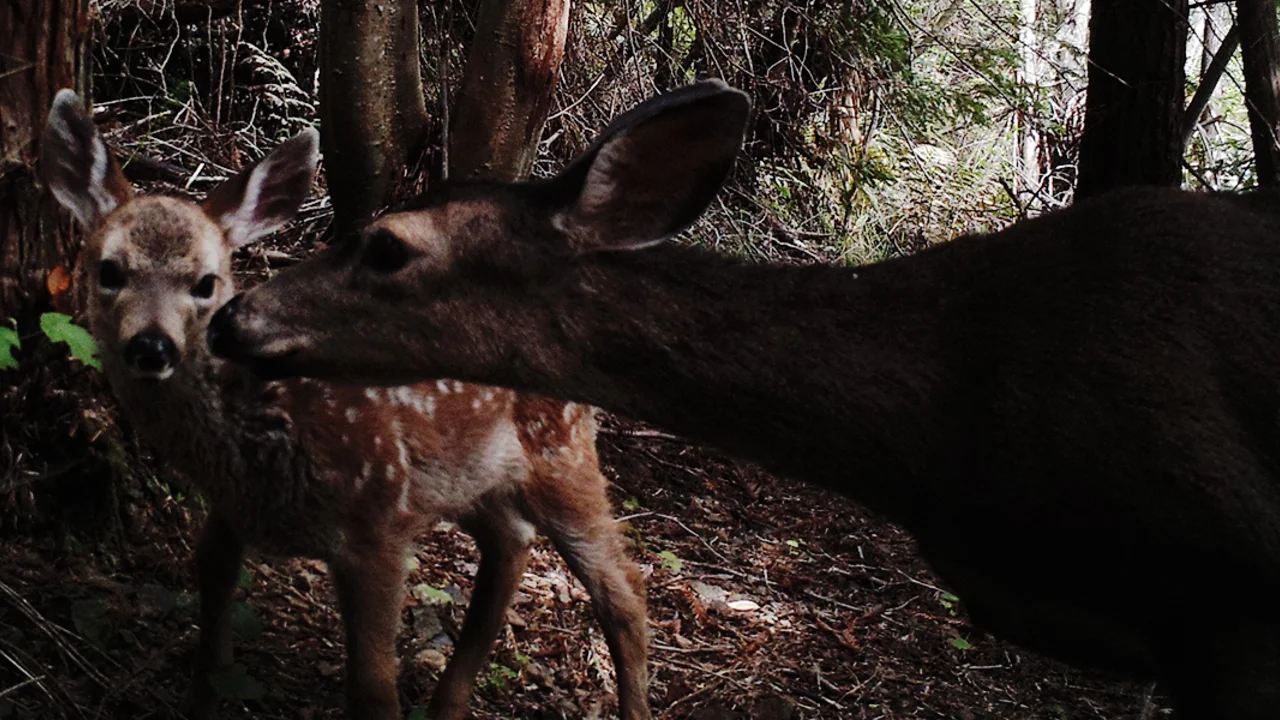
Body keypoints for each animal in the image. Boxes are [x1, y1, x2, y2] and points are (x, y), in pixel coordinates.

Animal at [40, 89, 650, 720]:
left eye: (206, 282)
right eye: (110, 270)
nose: (152, 346)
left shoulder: (374, 520)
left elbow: (374, 690)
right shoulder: (236, 509)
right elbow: (209, 624)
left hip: (561, 449)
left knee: (623, 592)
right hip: (467, 474)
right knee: (511, 541)